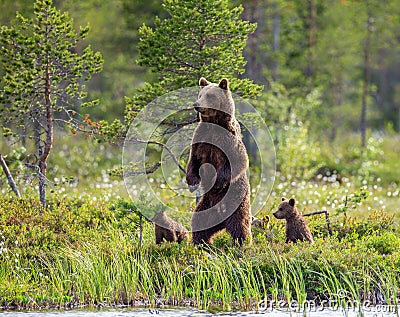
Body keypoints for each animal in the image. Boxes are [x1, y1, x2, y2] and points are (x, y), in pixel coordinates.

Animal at [186, 76, 252, 244]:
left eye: (210, 96)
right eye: (200, 94)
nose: (196, 105)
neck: (214, 124)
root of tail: (221, 219)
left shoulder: (228, 139)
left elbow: (238, 161)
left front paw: (218, 182)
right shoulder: (201, 138)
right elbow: (193, 160)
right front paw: (193, 182)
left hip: (237, 204)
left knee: (240, 225)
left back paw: (242, 243)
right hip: (205, 206)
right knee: (199, 223)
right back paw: (201, 243)